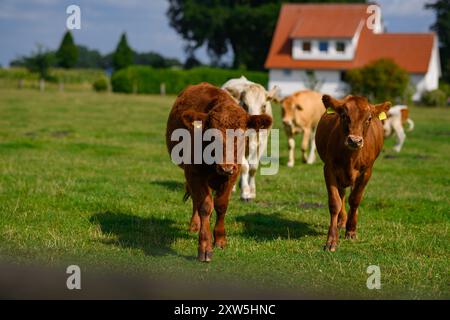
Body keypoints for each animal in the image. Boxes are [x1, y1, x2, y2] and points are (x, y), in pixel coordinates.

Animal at [165, 83, 270, 262]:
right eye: (212, 135)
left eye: (242, 135)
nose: (225, 167)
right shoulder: (194, 173)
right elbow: (205, 206)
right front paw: (205, 246)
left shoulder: (233, 174)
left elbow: (221, 205)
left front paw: (220, 239)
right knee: (195, 200)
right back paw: (195, 224)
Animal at [316, 94, 390, 251]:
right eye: (344, 115)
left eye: (369, 118)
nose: (355, 141)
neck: (350, 157)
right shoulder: (329, 169)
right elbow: (335, 202)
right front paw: (332, 239)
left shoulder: (366, 172)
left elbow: (355, 199)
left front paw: (351, 230)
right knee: (342, 195)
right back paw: (341, 221)